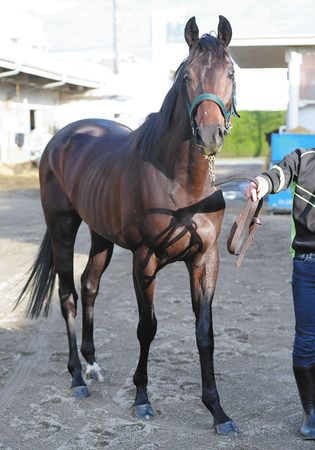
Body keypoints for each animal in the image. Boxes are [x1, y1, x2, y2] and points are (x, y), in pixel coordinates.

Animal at [17, 15, 239, 434]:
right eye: (185, 74)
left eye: (231, 72)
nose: (209, 135)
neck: (180, 183)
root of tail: (61, 138)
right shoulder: (144, 259)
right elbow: (146, 327)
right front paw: (142, 399)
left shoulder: (205, 260)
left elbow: (205, 332)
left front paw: (218, 411)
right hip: (63, 228)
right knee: (68, 294)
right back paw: (77, 376)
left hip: (100, 235)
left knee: (89, 286)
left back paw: (91, 364)